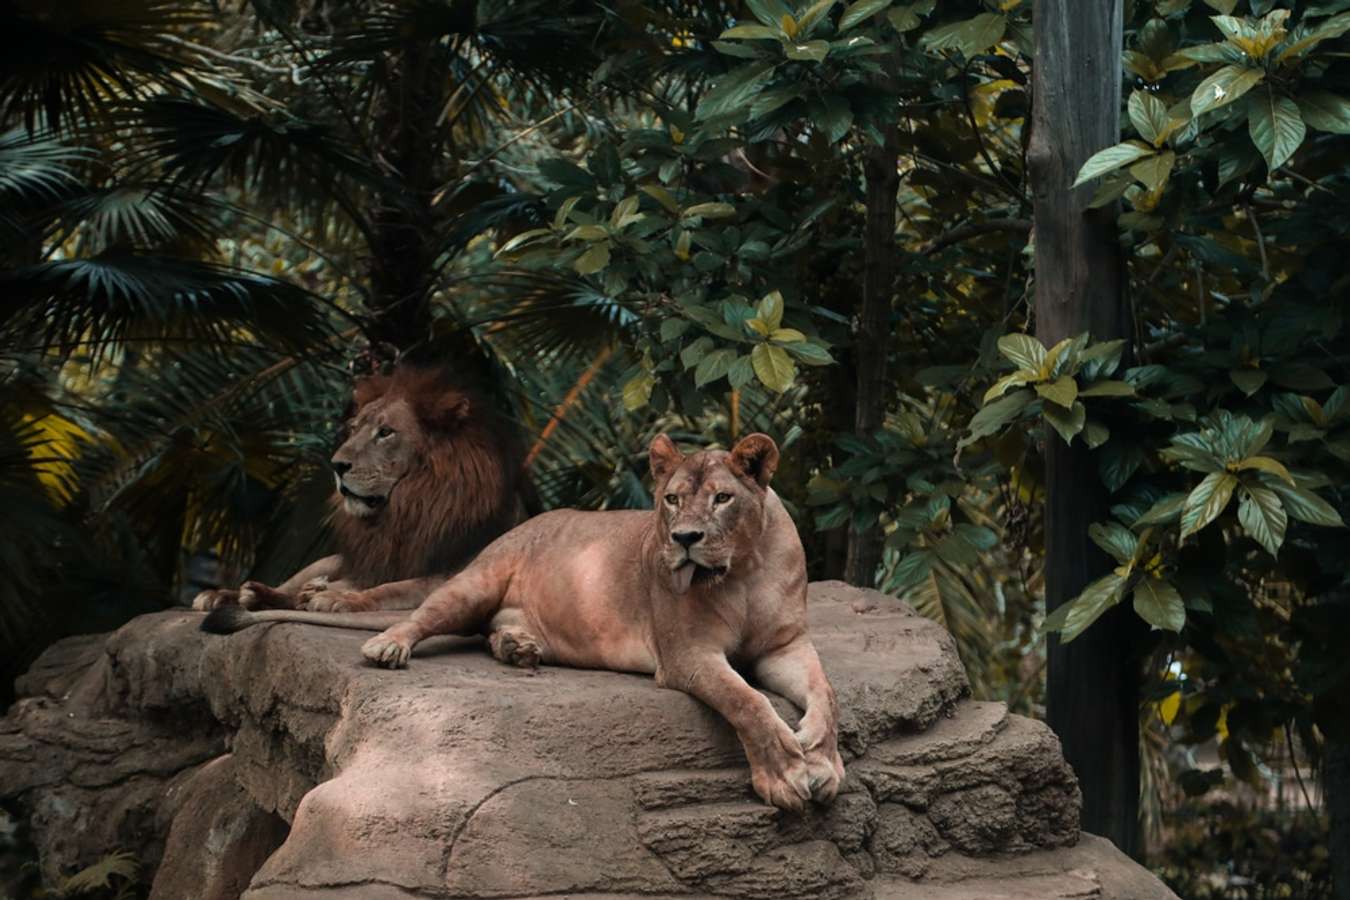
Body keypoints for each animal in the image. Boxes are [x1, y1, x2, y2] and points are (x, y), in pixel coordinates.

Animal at [194, 364, 526, 612]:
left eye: (386, 432)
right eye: (354, 430)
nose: (336, 465)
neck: (412, 504)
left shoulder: (452, 574)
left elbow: (391, 589)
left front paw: (339, 598)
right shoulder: (375, 563)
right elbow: (375, 583)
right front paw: (327, 593)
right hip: (326, 561)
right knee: (288, 587)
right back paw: (226, 595)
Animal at [202, 431, 842, 814]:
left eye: (722, 499)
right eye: (671, 499)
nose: (684, 539)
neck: (744, 569)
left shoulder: (786, 645)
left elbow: (826, 693)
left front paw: (821, 755)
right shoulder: (687, 656)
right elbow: (746, 702)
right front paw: (785, 774)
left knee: (487, 631)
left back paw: (518, 646)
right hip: (473, 581)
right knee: (419, 615)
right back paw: (387, 645)